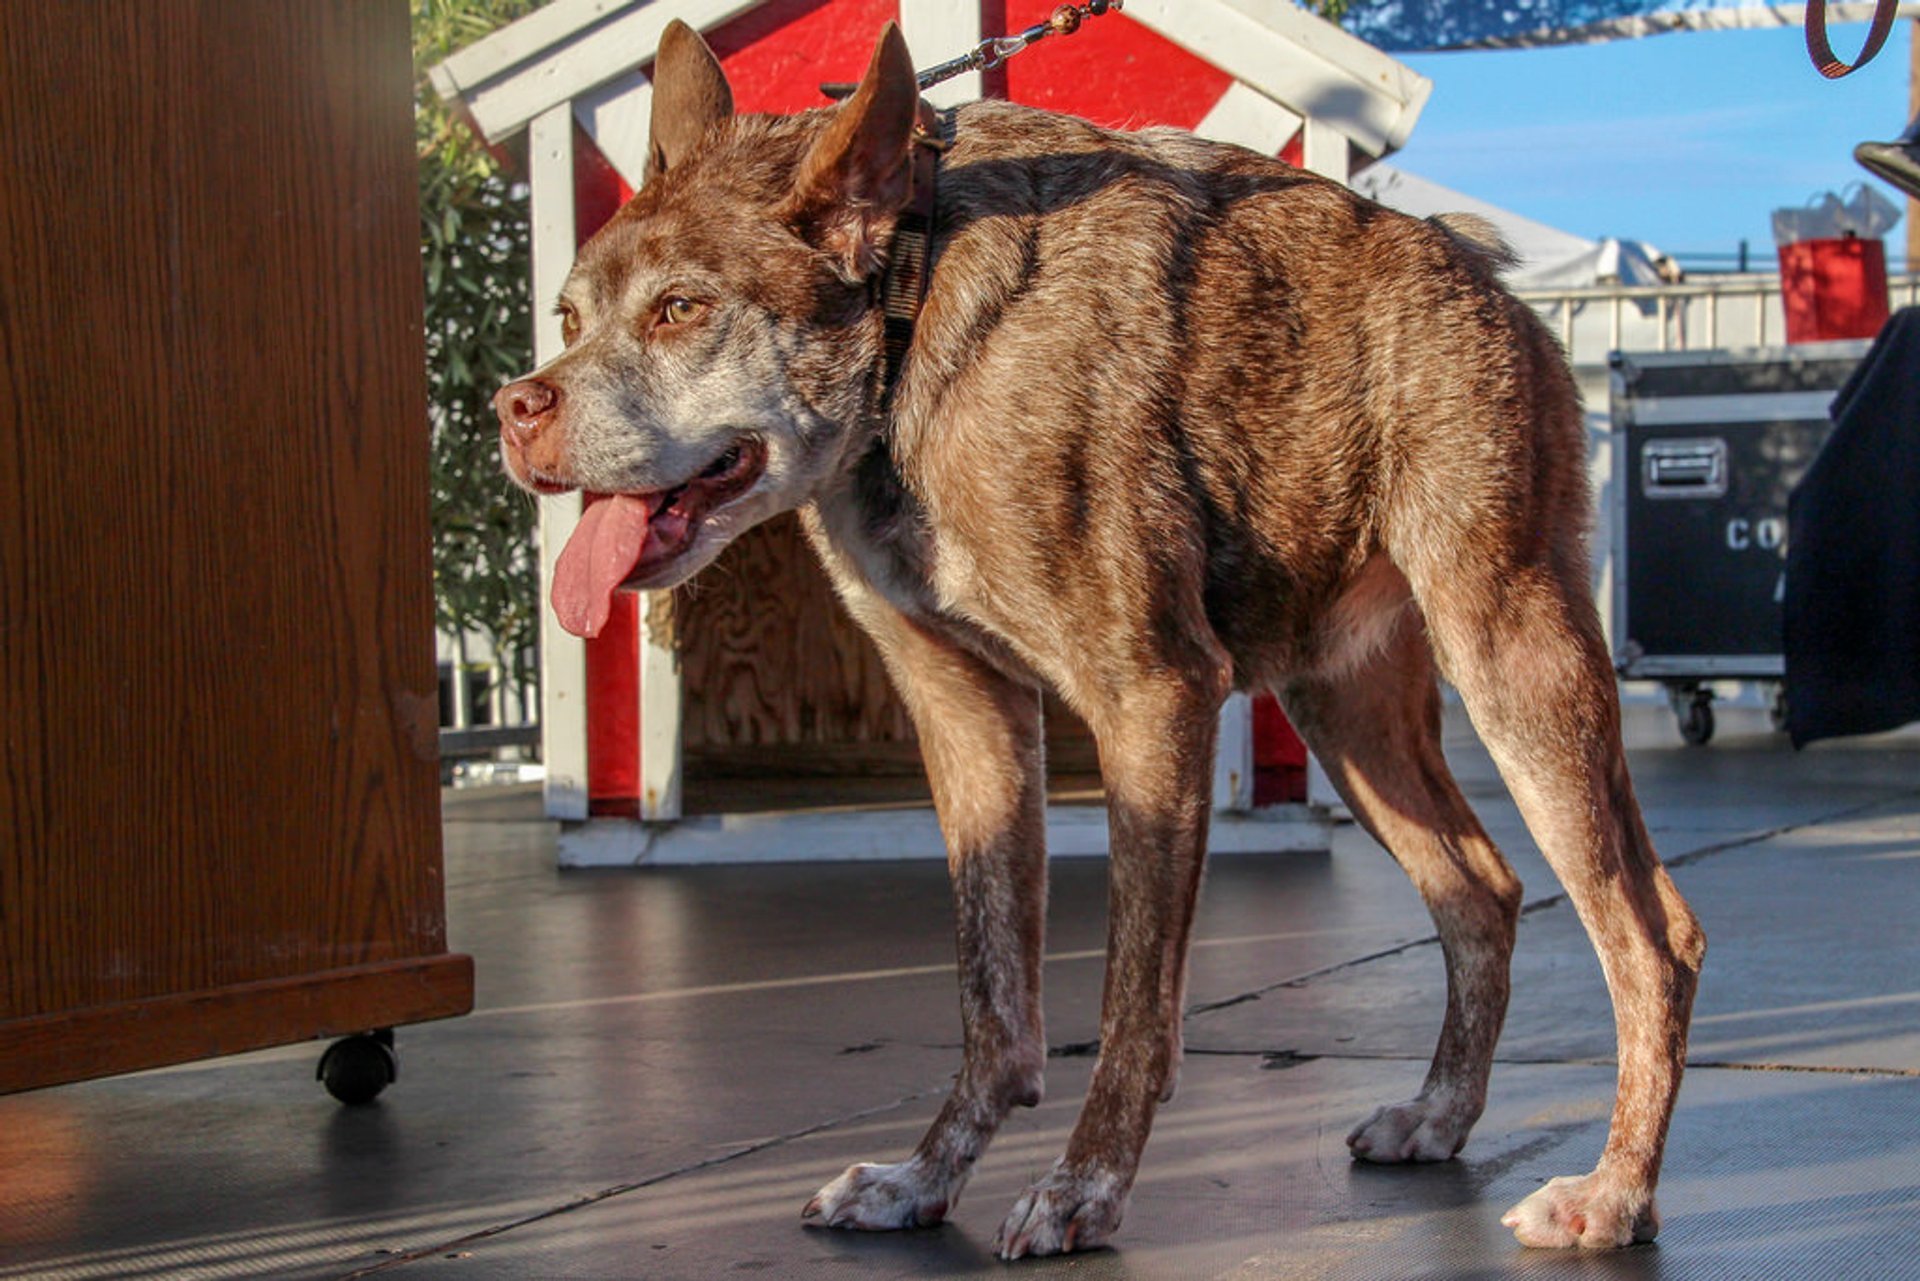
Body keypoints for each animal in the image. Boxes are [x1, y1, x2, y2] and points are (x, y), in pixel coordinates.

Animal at [495, 20, 1712, 1259]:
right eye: (567, 320)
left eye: (681, 310)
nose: (515, 407)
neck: (914, 314)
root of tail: (1487, 275)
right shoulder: (967, 715)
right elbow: (992, 996)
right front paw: (925, 1178)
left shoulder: (1153, 699)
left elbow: (1134, 1002)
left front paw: (1085, 1187)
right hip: (1350, 713)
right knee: (1482, 893)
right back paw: (1440, 1116)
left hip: (1513, 658)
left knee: (1653, 939)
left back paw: (1617, 1192)